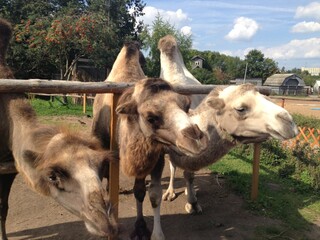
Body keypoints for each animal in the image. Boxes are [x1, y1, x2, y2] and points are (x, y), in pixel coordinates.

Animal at [91, 42, 209, 239]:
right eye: (150, 117)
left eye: (186, 105)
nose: (197, 138)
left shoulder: (154, 157)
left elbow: (149, 194)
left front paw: (148, 231)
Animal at [158, 34, 298, 215]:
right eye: (241, 108)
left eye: (265, 97)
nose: (289, 122)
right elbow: (173, 166)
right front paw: (180, 196)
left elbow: (189, 173)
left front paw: (193, 201)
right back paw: (170, 191)